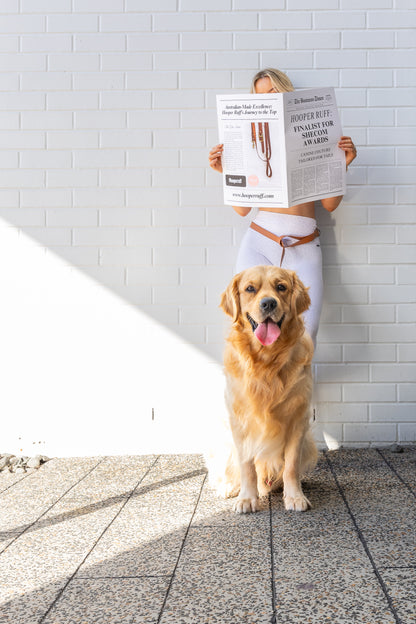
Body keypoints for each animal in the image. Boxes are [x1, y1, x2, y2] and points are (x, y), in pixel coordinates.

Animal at [218, 266, 316, 516]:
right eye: (250, 289)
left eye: (281, 287)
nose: (269, 303)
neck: (267, 361)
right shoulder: (239, 422)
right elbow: (246, 465)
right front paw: (247, 498)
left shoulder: (298, 418)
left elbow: (290, 465)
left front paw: (295, 496)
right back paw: (228, 487)